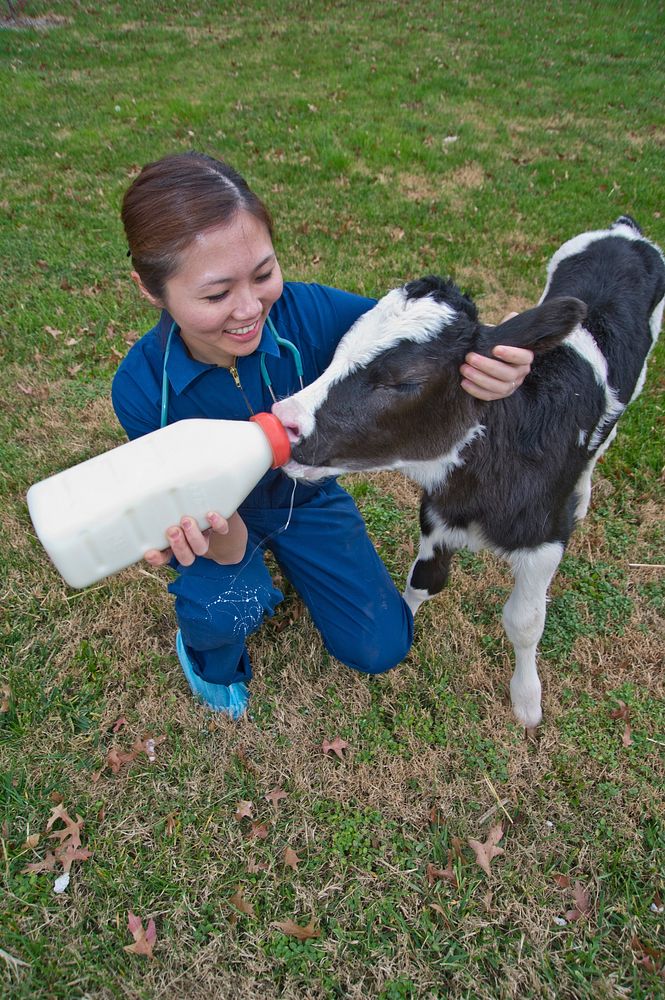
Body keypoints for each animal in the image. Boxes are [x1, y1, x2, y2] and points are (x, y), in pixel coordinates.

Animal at [272, 221, 664, 728]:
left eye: (406, 380)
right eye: (337, 351)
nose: (285, 418)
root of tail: (624, 229)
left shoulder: (545, 540)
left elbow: (524, 622)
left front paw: (526, 701)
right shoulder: (438, 516)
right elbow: (424, 581)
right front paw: (407, 623)